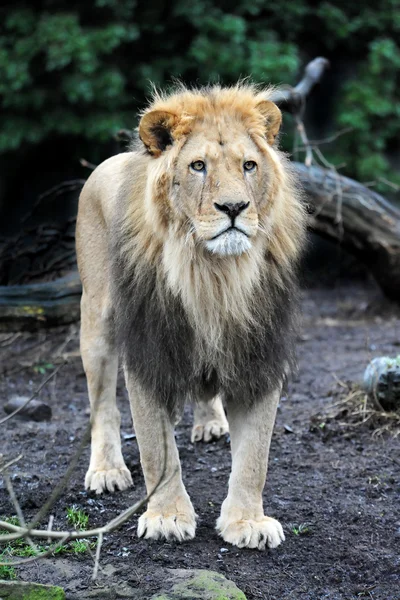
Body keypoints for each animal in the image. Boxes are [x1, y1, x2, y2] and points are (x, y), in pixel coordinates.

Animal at [76, 82, 306, 552]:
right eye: (198, 166)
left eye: (249, 165)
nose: (234, 206)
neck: (213, 277)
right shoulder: (148, 353)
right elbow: (156, 448)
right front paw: (167, 517)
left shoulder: (259, 354)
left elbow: (255, 456)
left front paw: (248, 521)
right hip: (97, 319)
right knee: (102, 403)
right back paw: (106, 471)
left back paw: (211, 423)